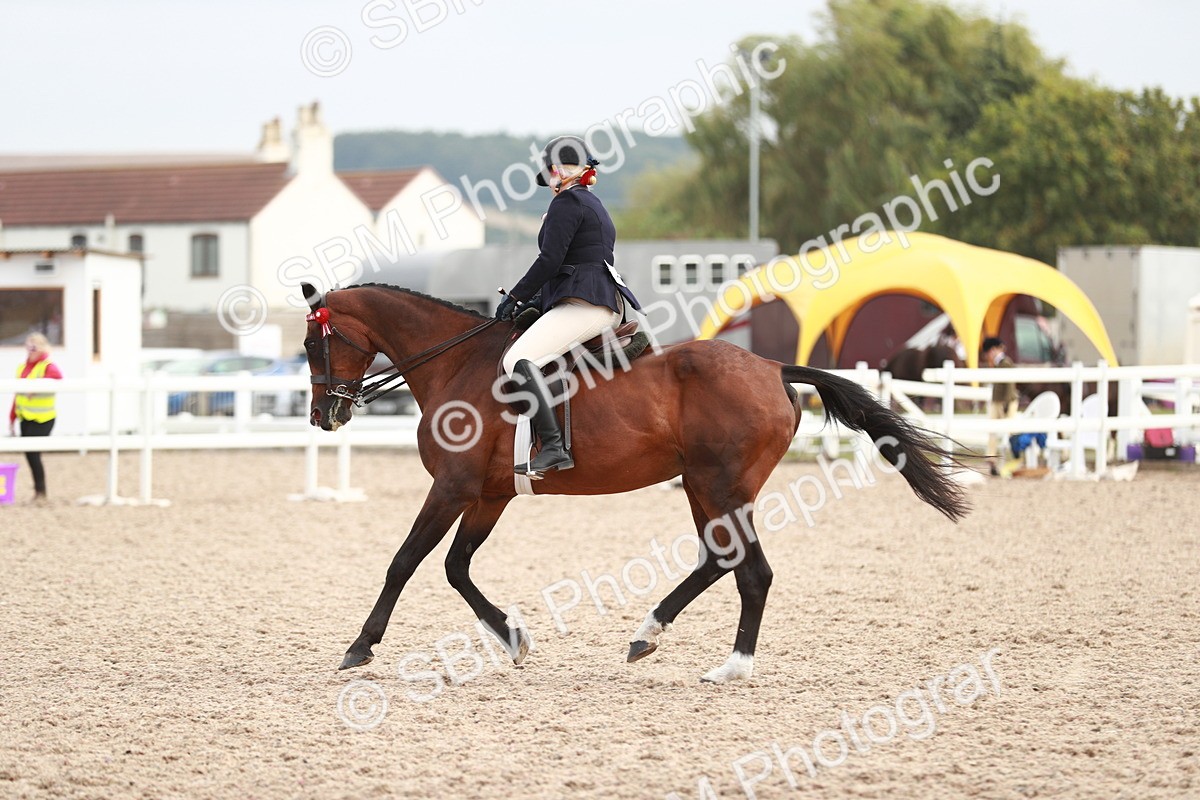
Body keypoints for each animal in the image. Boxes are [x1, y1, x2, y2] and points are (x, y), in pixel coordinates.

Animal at [302, 282, 969, 683]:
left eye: (313, 343)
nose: (323, 416)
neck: (455, 364)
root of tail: (774, 367)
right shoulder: (488, 495)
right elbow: (454, 568)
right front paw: (515, 639)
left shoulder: (453, 488)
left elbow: (405, 562)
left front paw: (360, 646)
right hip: (703, 486)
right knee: (721, 561)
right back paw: (651, 635)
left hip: (722, 486)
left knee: (750, 571)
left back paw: (729, 664)